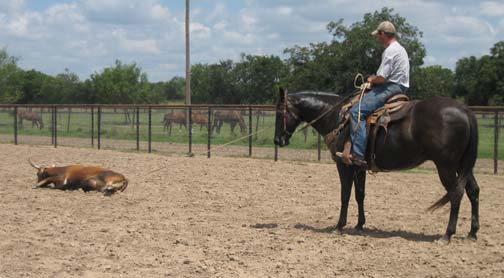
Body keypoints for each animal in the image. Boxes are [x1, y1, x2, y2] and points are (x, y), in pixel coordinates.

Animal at [276, 89, 480, 243]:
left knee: (456, 193)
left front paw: (339, 226)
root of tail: (464, 109)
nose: (278, 140)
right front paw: (360, 225)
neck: (337, 117)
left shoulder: (343, 165)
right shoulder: (358, 167)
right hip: (462, 166)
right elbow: (360, 195)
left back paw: (447, 235)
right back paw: (472, 233)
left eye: (280, 112)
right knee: (473, 190)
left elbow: (345, 195)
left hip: (446, 166)